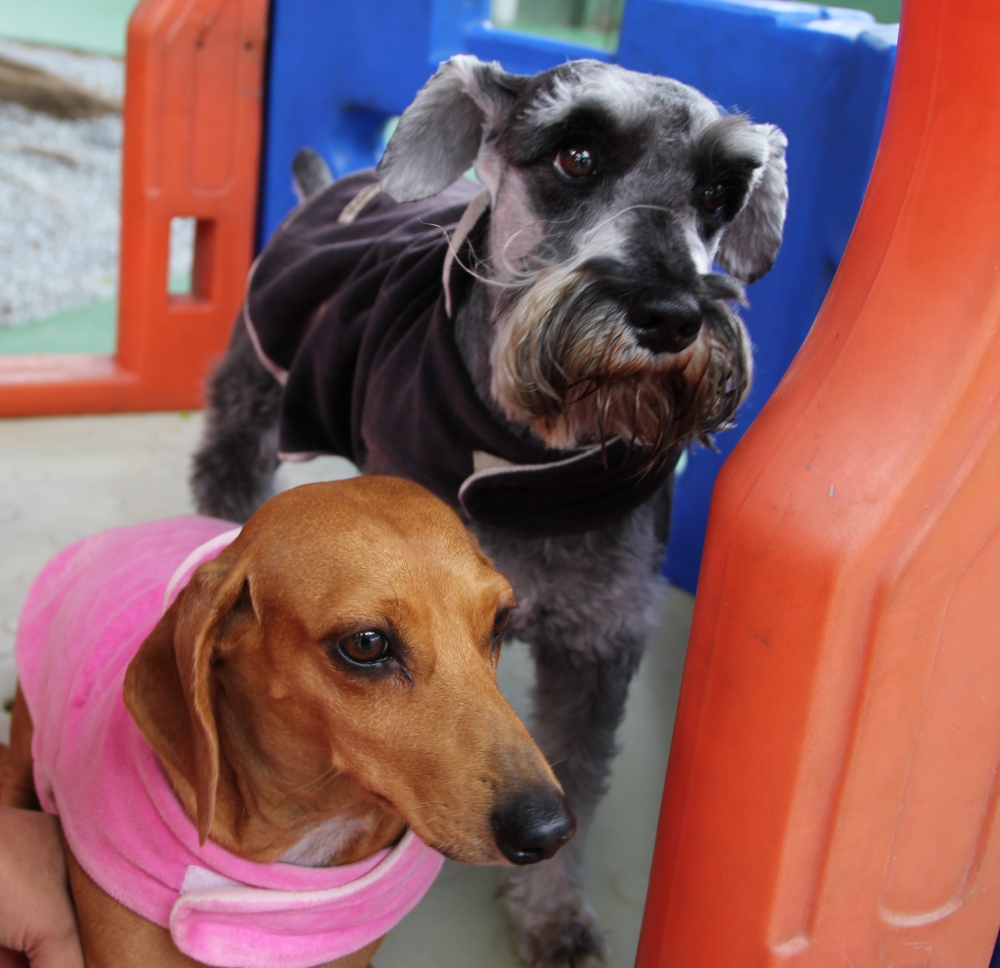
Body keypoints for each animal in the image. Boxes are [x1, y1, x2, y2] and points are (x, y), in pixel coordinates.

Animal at [191, 54, 788, 968]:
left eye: (721, 192)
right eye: (577, 154)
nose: (672, 315)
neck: (530, 464)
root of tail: (335, 184)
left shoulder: (599, 644)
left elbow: (577, 781)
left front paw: (553, 913)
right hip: (252, 395)